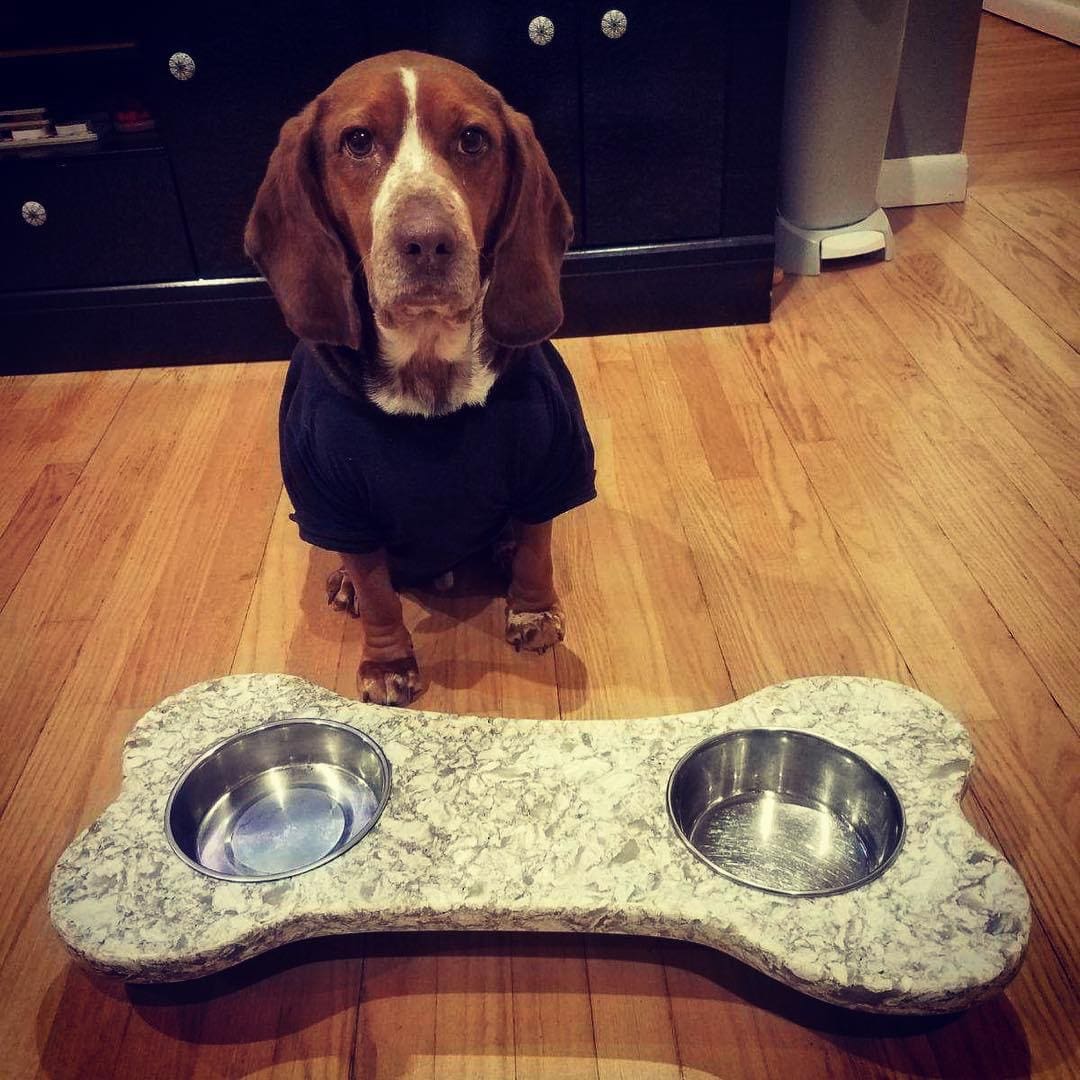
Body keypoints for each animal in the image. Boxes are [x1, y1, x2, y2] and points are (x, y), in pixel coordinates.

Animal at [247, 52, 591, 708]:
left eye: (472, 139)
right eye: (357, 141)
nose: (428, 242)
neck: (429, 364)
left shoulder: (552, 466)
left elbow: (538, 546)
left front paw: (533, 612)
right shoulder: (338, 506)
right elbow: (380, 593)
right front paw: (387, 664)